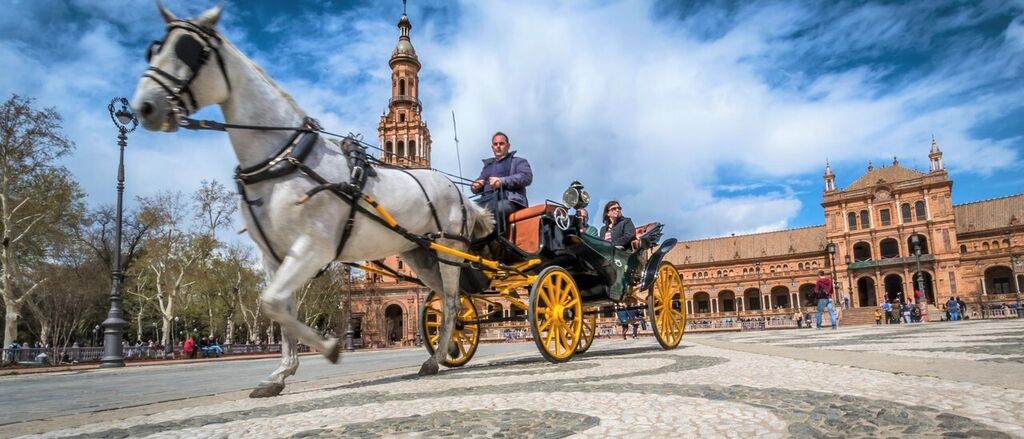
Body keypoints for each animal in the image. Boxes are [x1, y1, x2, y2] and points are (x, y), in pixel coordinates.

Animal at [131, 4, 491, 397]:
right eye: (153, 49)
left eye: (188, 50)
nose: (145, 106)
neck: (285, 158)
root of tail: (458, 194)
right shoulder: (275, 257)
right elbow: (279, 308)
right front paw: (281, 373)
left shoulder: (313, 247)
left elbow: (274, 304)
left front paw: (329, 348)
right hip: (422, 255)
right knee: (448, 302)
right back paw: (449, 349)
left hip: (447, 250)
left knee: (452, 302)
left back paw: (434, 358)